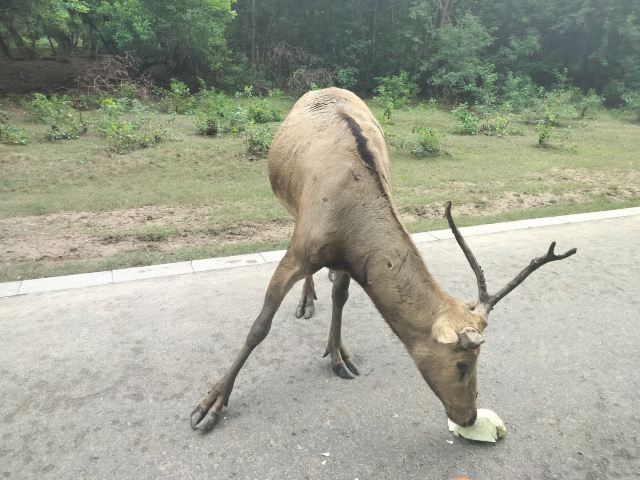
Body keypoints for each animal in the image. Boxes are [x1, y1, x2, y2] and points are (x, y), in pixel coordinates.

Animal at [190, 88, 577, 431]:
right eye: (464, 363)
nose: (469, 417)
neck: (348, 226)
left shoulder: (351, 261)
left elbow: (341, 299)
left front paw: (338, 355)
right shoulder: (301, 250)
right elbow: (259, 328)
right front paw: (210, 405)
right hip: (288, 202)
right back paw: (305, 301)